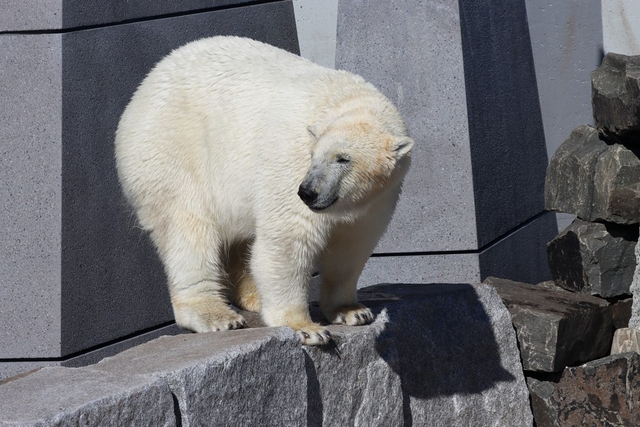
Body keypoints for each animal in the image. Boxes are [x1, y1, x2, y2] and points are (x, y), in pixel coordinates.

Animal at [114, 35, 416, 346]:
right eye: (313, 155)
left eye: (343, 158)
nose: (308, 192)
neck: (345, 99)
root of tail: (143, 89)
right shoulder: (290, 163)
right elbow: (288, 241)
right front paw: (307, 328)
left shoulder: (378, 199)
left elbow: (351, 246)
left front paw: (353, 311)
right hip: (172, 154)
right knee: (188, 232)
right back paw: (215, 315)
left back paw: (253, 297)